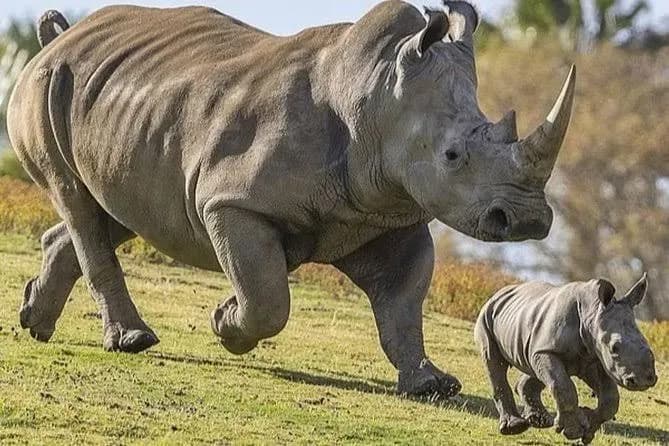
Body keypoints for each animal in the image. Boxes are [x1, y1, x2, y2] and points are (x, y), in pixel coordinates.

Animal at [7, 0, 575, 398]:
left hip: (124, 105)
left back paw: (35, 321)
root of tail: (58, 40)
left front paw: (432, 384)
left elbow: (403, 303)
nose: (527, 219)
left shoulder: (387, 212)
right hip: (45, 85)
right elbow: (268, 300)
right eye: (453, 156)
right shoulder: (232, 201)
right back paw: (133, 340)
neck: (375, 95)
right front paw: (225, 322)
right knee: (77, 201)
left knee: (119, 208)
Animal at [475, 275, 657, 443]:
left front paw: (587, 429)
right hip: (487, 316)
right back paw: (514, 427)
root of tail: (499, 293)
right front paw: (573, 431)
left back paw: (541, 421)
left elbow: (610, 398)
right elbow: (563, 387)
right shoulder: (550, 350)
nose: (644, 380)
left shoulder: (595, 357)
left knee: (535, 367)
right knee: (494, 361)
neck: (591, 312)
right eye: (614, 348)